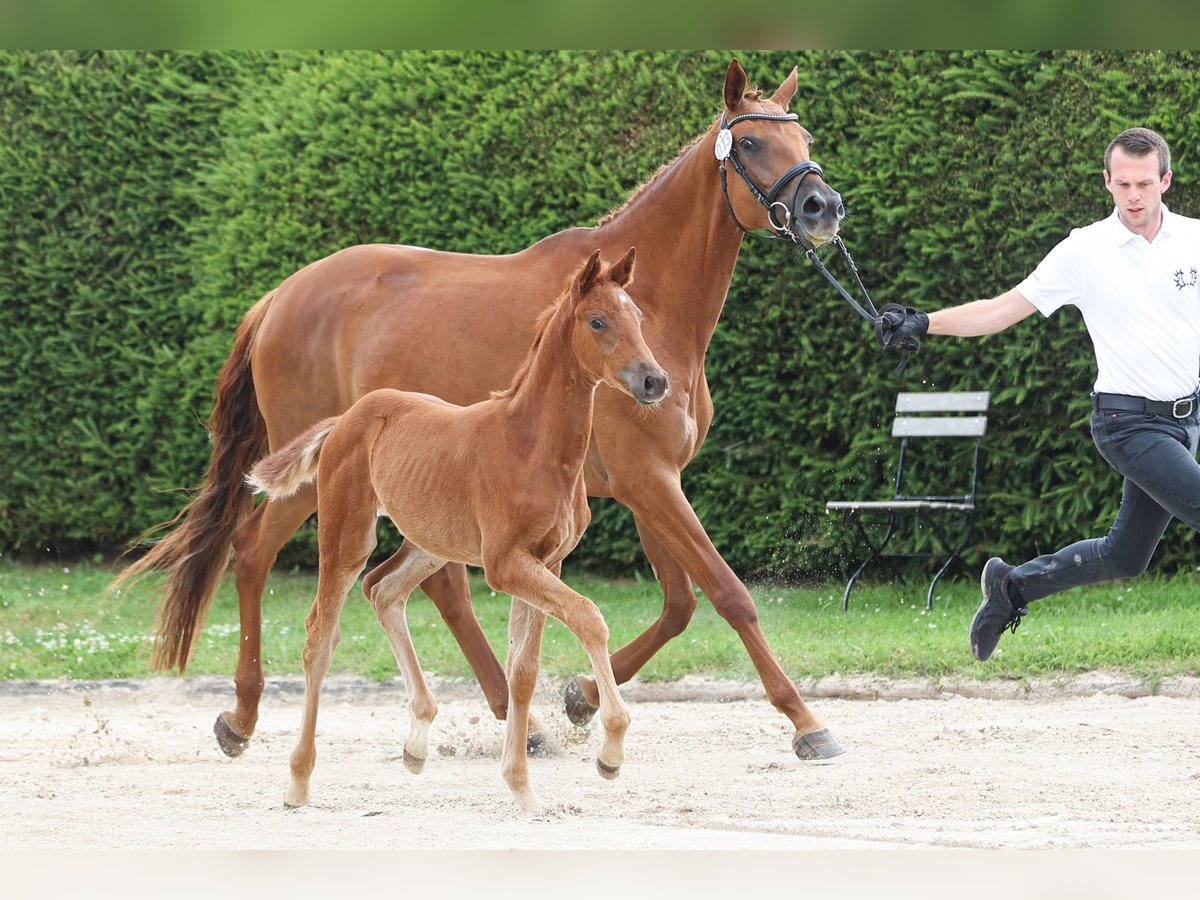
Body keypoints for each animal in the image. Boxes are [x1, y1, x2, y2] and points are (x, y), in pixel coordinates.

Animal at [248, 248, 672, 816]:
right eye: (597, 321)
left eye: (639, 317)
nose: (655, 381)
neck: (533, 446)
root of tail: (345, 419)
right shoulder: (505, 564)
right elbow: (590, 618)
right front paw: (611, 751)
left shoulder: (547, 561)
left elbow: (523, 669)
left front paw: (521, 785)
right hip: (347, 535)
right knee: (320, 634)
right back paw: (298, 780)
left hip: (431, 542)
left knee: (383, 590)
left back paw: (416, 742)